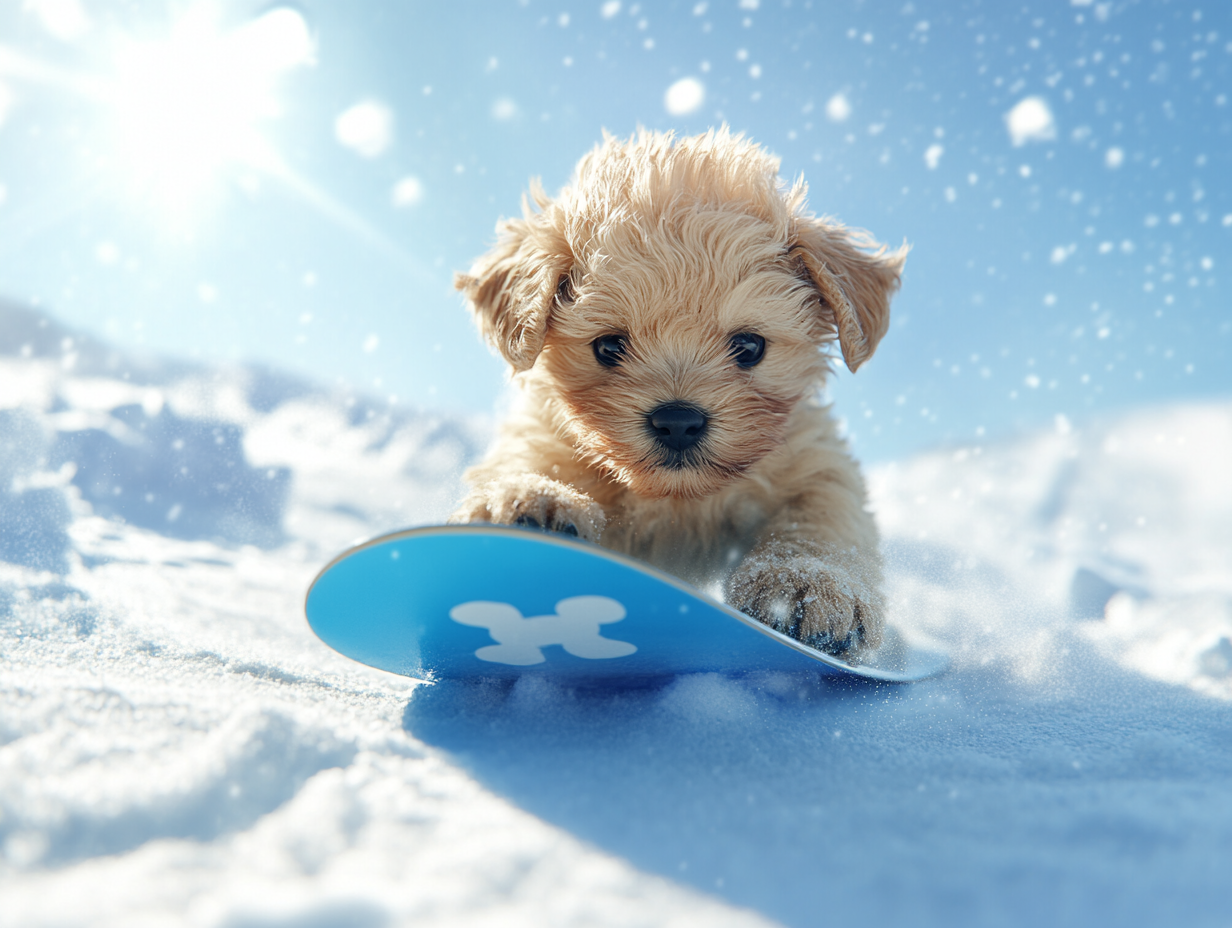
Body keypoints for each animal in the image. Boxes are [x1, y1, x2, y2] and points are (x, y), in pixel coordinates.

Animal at [450, 126, 906, 655]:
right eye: (608, 347)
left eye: (749, 346)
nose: (678, 422)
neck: (676, 500)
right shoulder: (544, 430)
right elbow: (526, 461)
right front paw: (528, 501)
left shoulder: (814, 458)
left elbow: (821, 519)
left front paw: (807, 583)